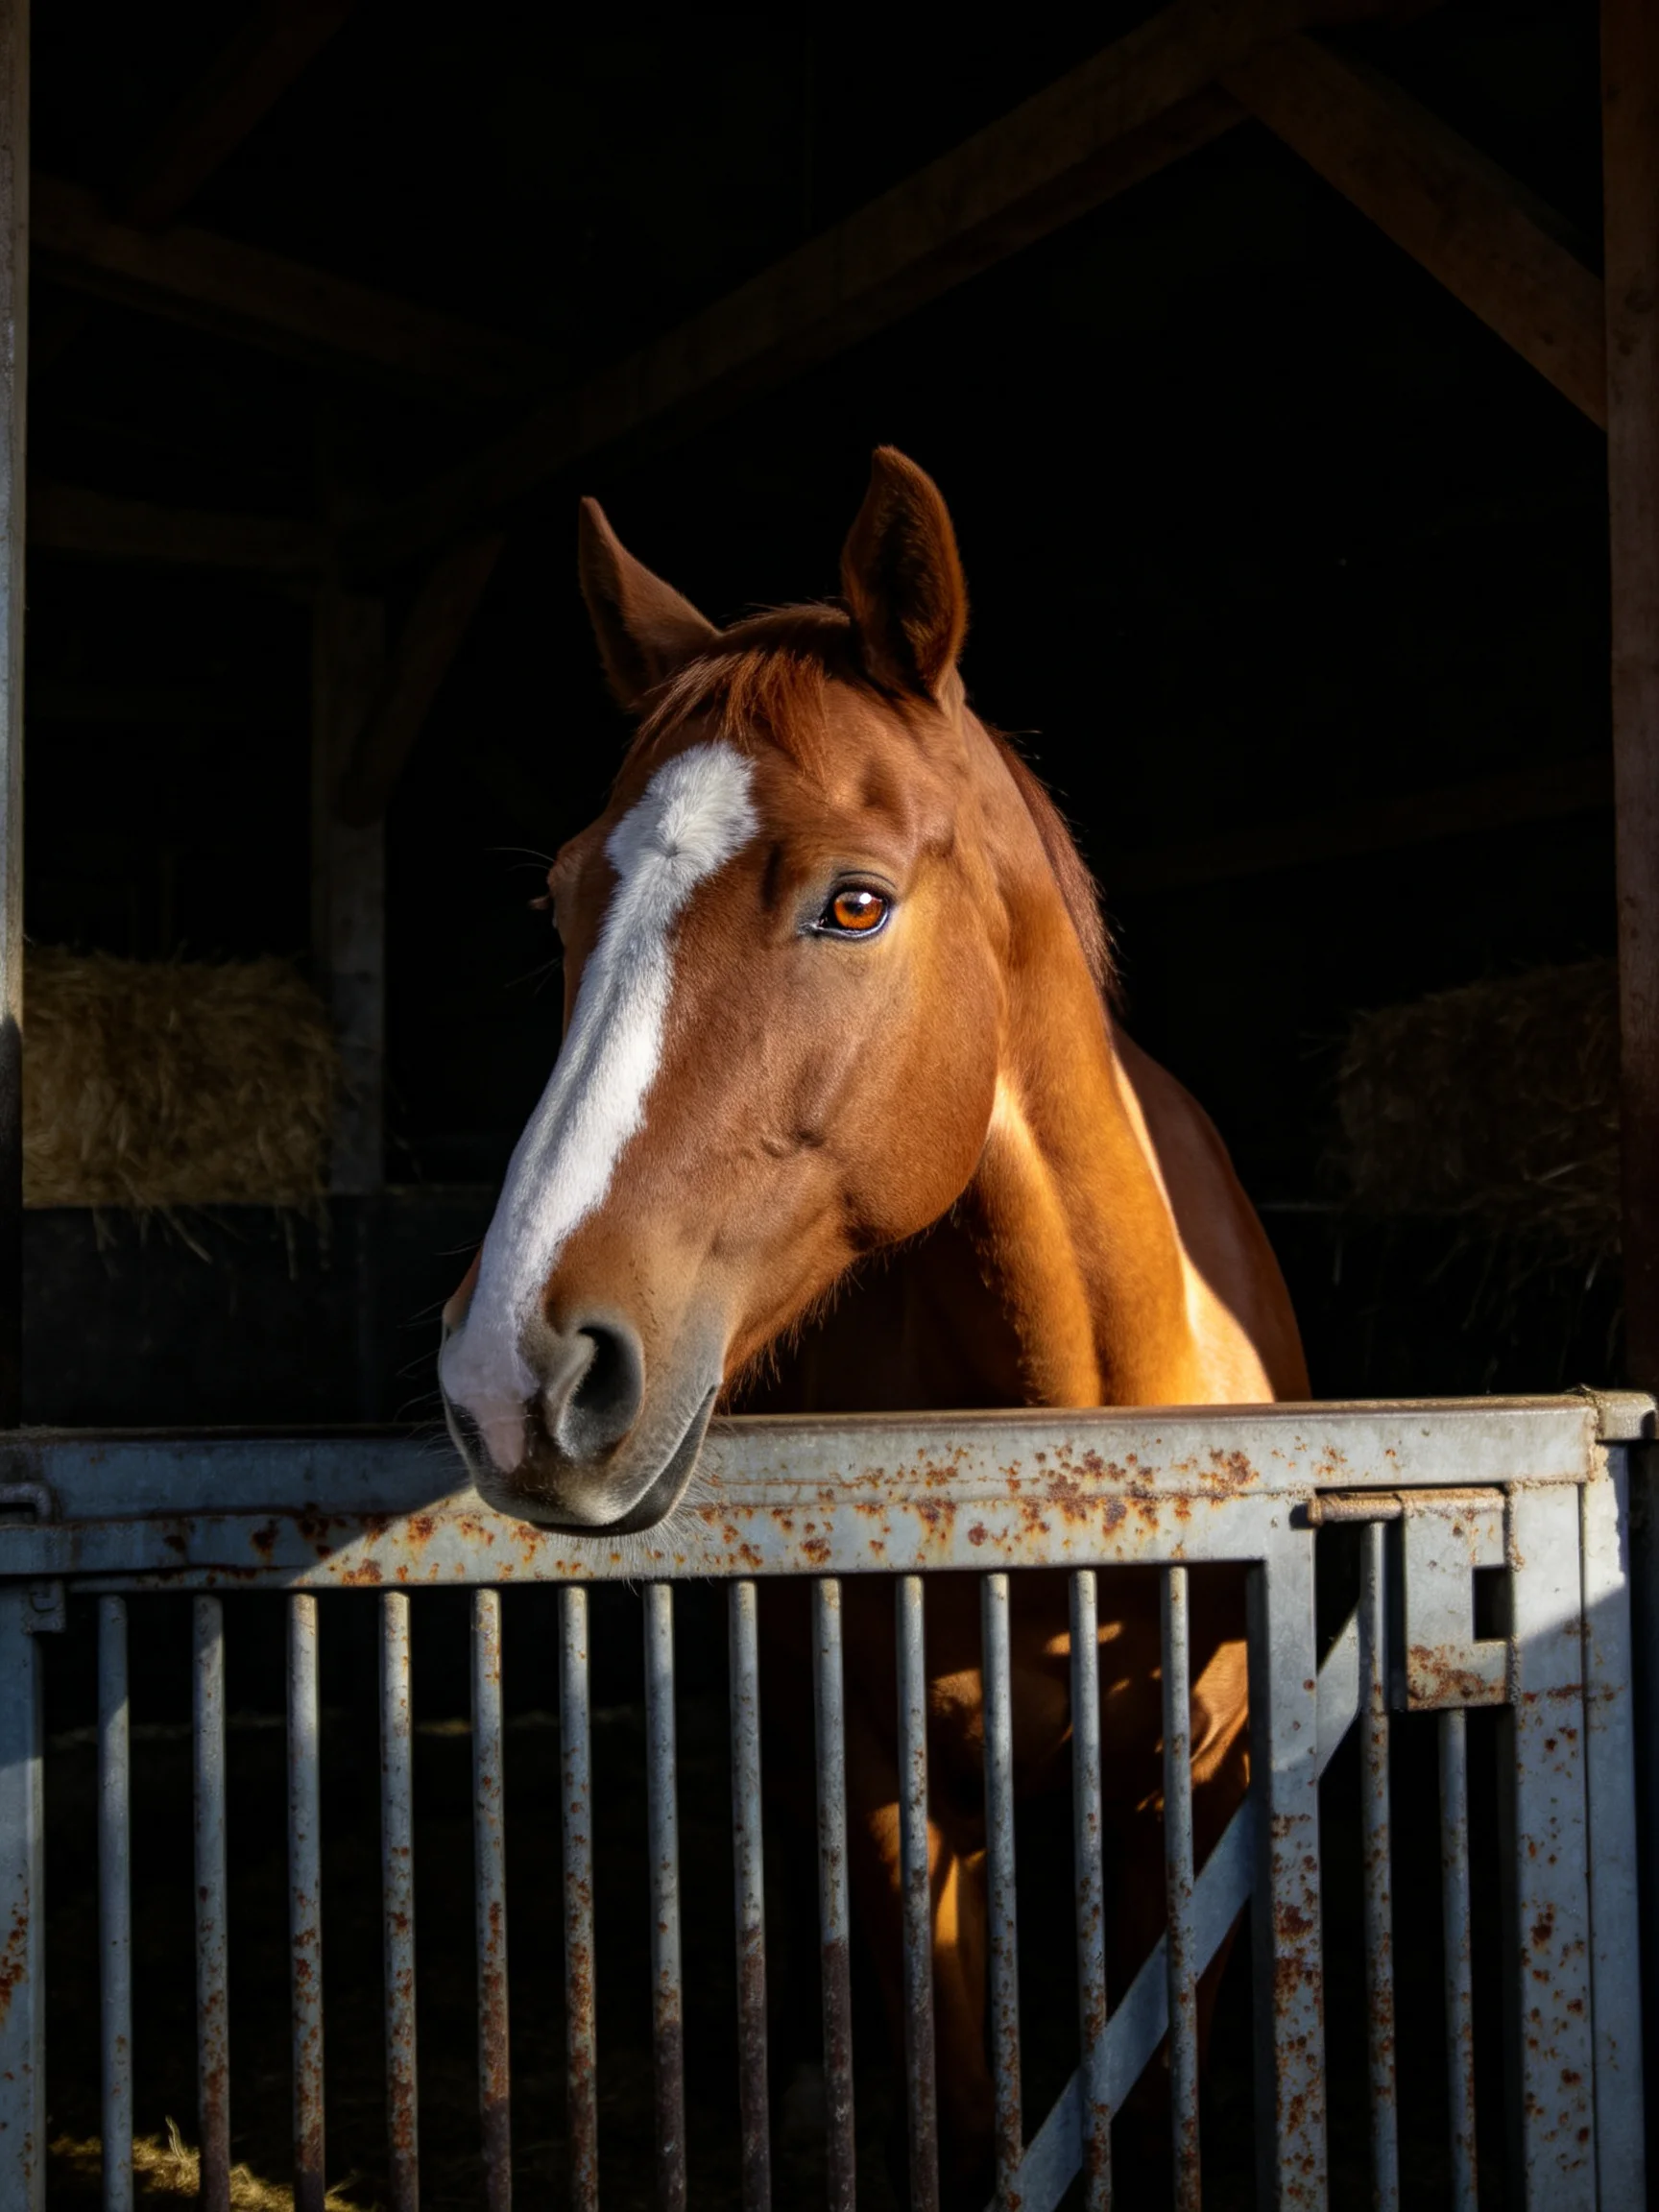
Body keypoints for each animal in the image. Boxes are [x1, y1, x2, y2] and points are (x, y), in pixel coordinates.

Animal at [438, 446, 1307, 2202]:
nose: (515, 1375)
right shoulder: (899, 1811)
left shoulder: (1192, 1801)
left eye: (855, 902)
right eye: (563, 899)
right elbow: (964, 2110)